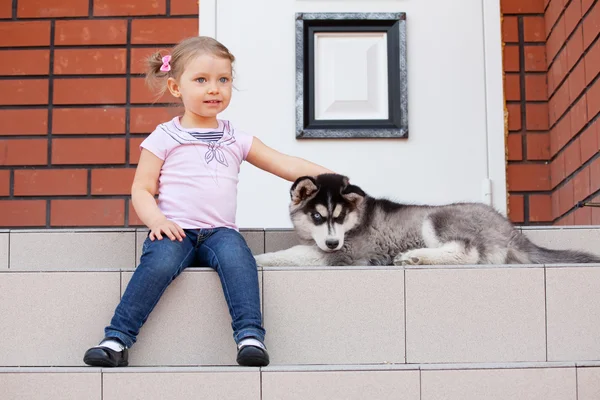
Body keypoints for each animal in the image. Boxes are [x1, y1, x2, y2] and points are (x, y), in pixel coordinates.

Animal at [253, 174, 600, 266]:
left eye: (339, 217)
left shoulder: (348, 253)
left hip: (438, 218)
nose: (331, 241)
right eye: (317, 216)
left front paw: (261, 258)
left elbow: (293, 255)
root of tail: (512, 229)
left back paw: (416, 257)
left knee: (467, 252)